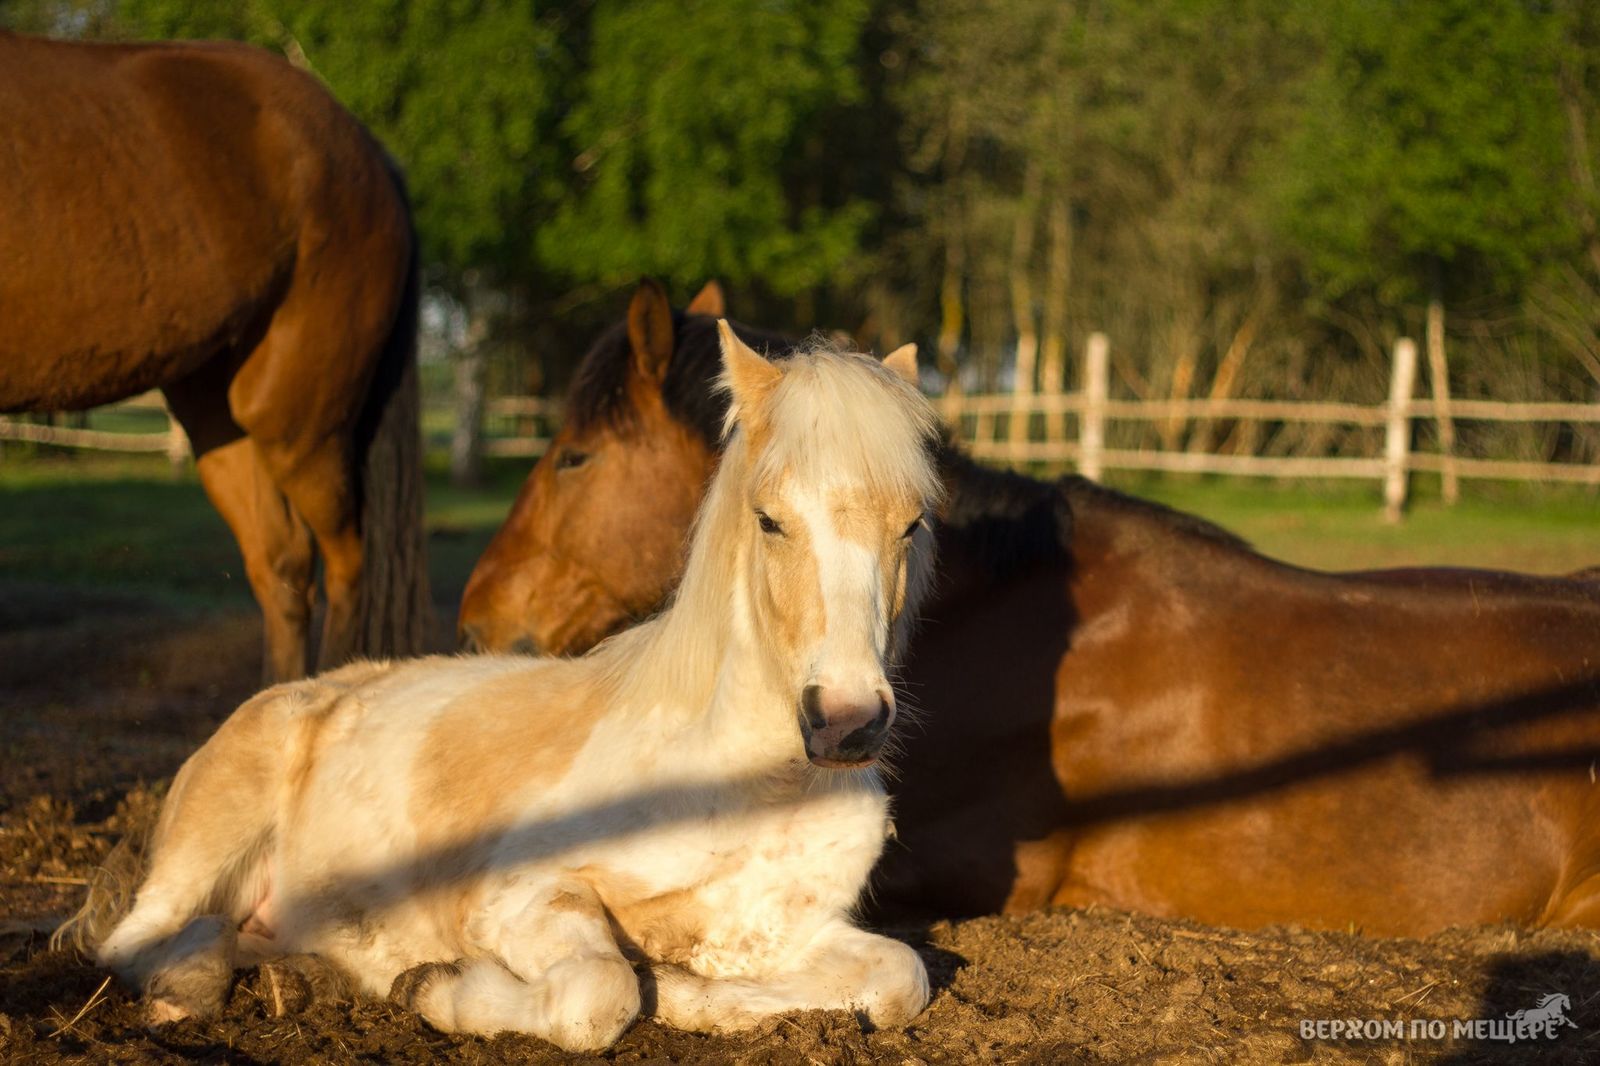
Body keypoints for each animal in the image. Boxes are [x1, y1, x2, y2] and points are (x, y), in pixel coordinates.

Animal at [90, 329, 934, 1043]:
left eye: (911, 525)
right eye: (769, 520)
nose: (847, 723)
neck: (744, 788)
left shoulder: (791, 929)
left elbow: (901, 976)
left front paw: (684, 992)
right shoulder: (522, 896)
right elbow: (602, 992)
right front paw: (436, 988)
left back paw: (296, 980)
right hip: (206, 847)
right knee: (143, 938)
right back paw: (197, 985)